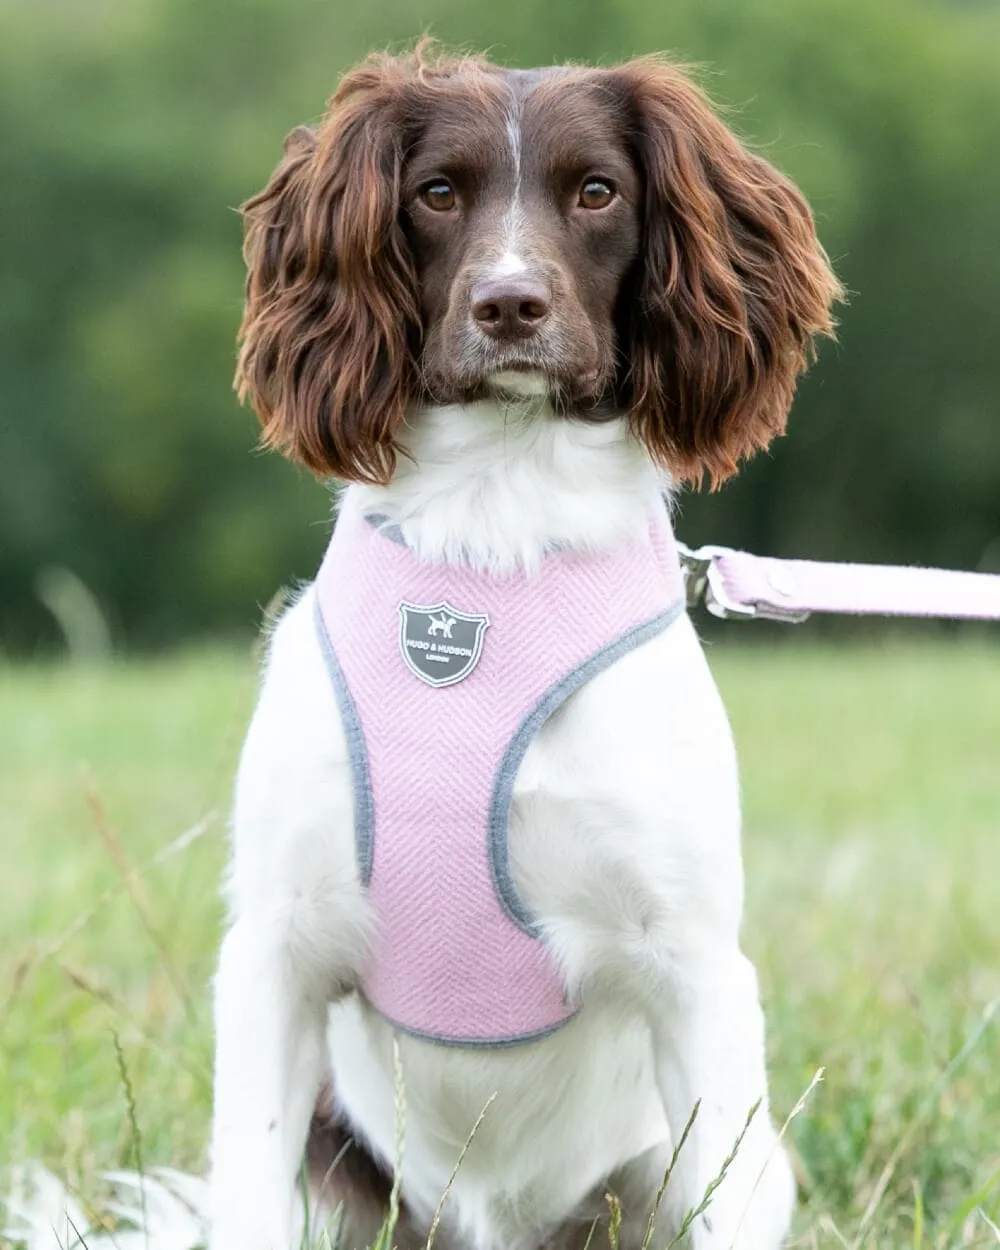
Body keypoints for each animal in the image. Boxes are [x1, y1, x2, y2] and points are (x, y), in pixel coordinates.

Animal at [212, 44, 845, 1245]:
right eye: (435, 192)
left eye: (597, 191)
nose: (511, 304)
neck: (493, 531)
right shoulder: (273, 950)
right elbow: (244, 1196)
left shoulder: (696, 969)